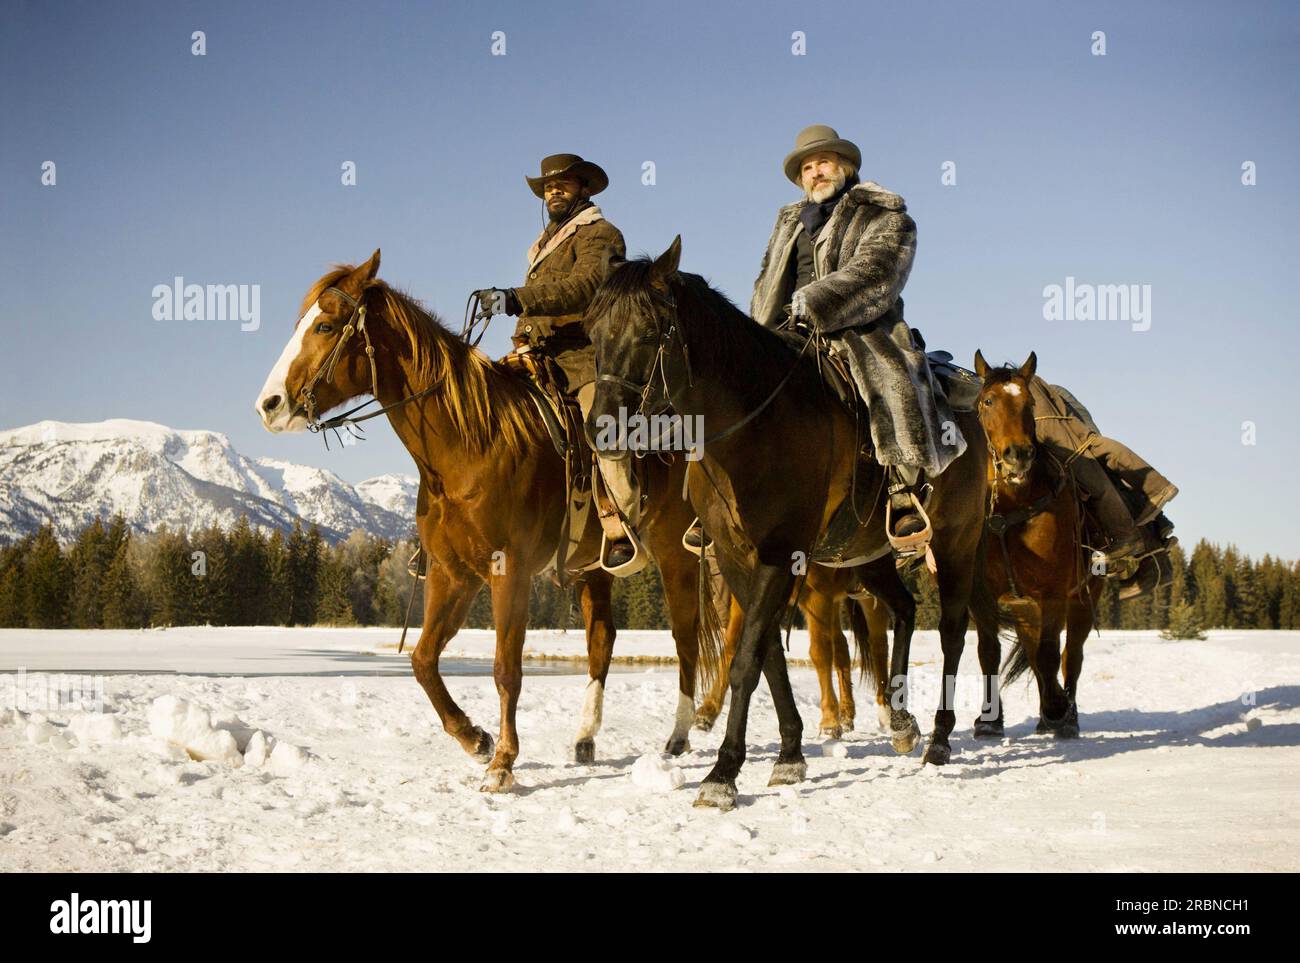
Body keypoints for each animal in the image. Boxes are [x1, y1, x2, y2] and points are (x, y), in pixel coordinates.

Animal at [253, 249, 722, 790]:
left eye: (326, 325)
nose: (268, 405)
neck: (469, 445)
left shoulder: (507, 572)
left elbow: (505, 669)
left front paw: (503, 763)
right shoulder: (451, 574)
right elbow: (423, 660)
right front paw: (474, 739)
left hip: (675, 554)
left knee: (686, 638)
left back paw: (679, 735)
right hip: (594, 569)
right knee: (602, 641)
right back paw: (585, 738)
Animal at [587, 236, 993, 805]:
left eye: (649, 331)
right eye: (594, 332)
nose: (600, 428)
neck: (753, 426)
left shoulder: (781, 554)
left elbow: (746, 660)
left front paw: (722, 774)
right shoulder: (739, 557)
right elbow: (768, 658)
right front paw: (789, 755)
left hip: (957, 542)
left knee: (954, 633)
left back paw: (937, 737)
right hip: (869, 555)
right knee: (905, 609)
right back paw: (900, 722)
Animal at [972, 353, 1102, 738]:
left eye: (1029, 403)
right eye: (988, 401)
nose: (1018, 454)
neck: (1010, 510)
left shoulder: (1053, 593)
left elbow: (1049, 654)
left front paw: (1058, 709)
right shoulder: (980, 596)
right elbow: (989, 652)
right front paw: (989, 720)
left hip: (1082, 599)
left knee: (1070, 656)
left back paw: (1065, 714)